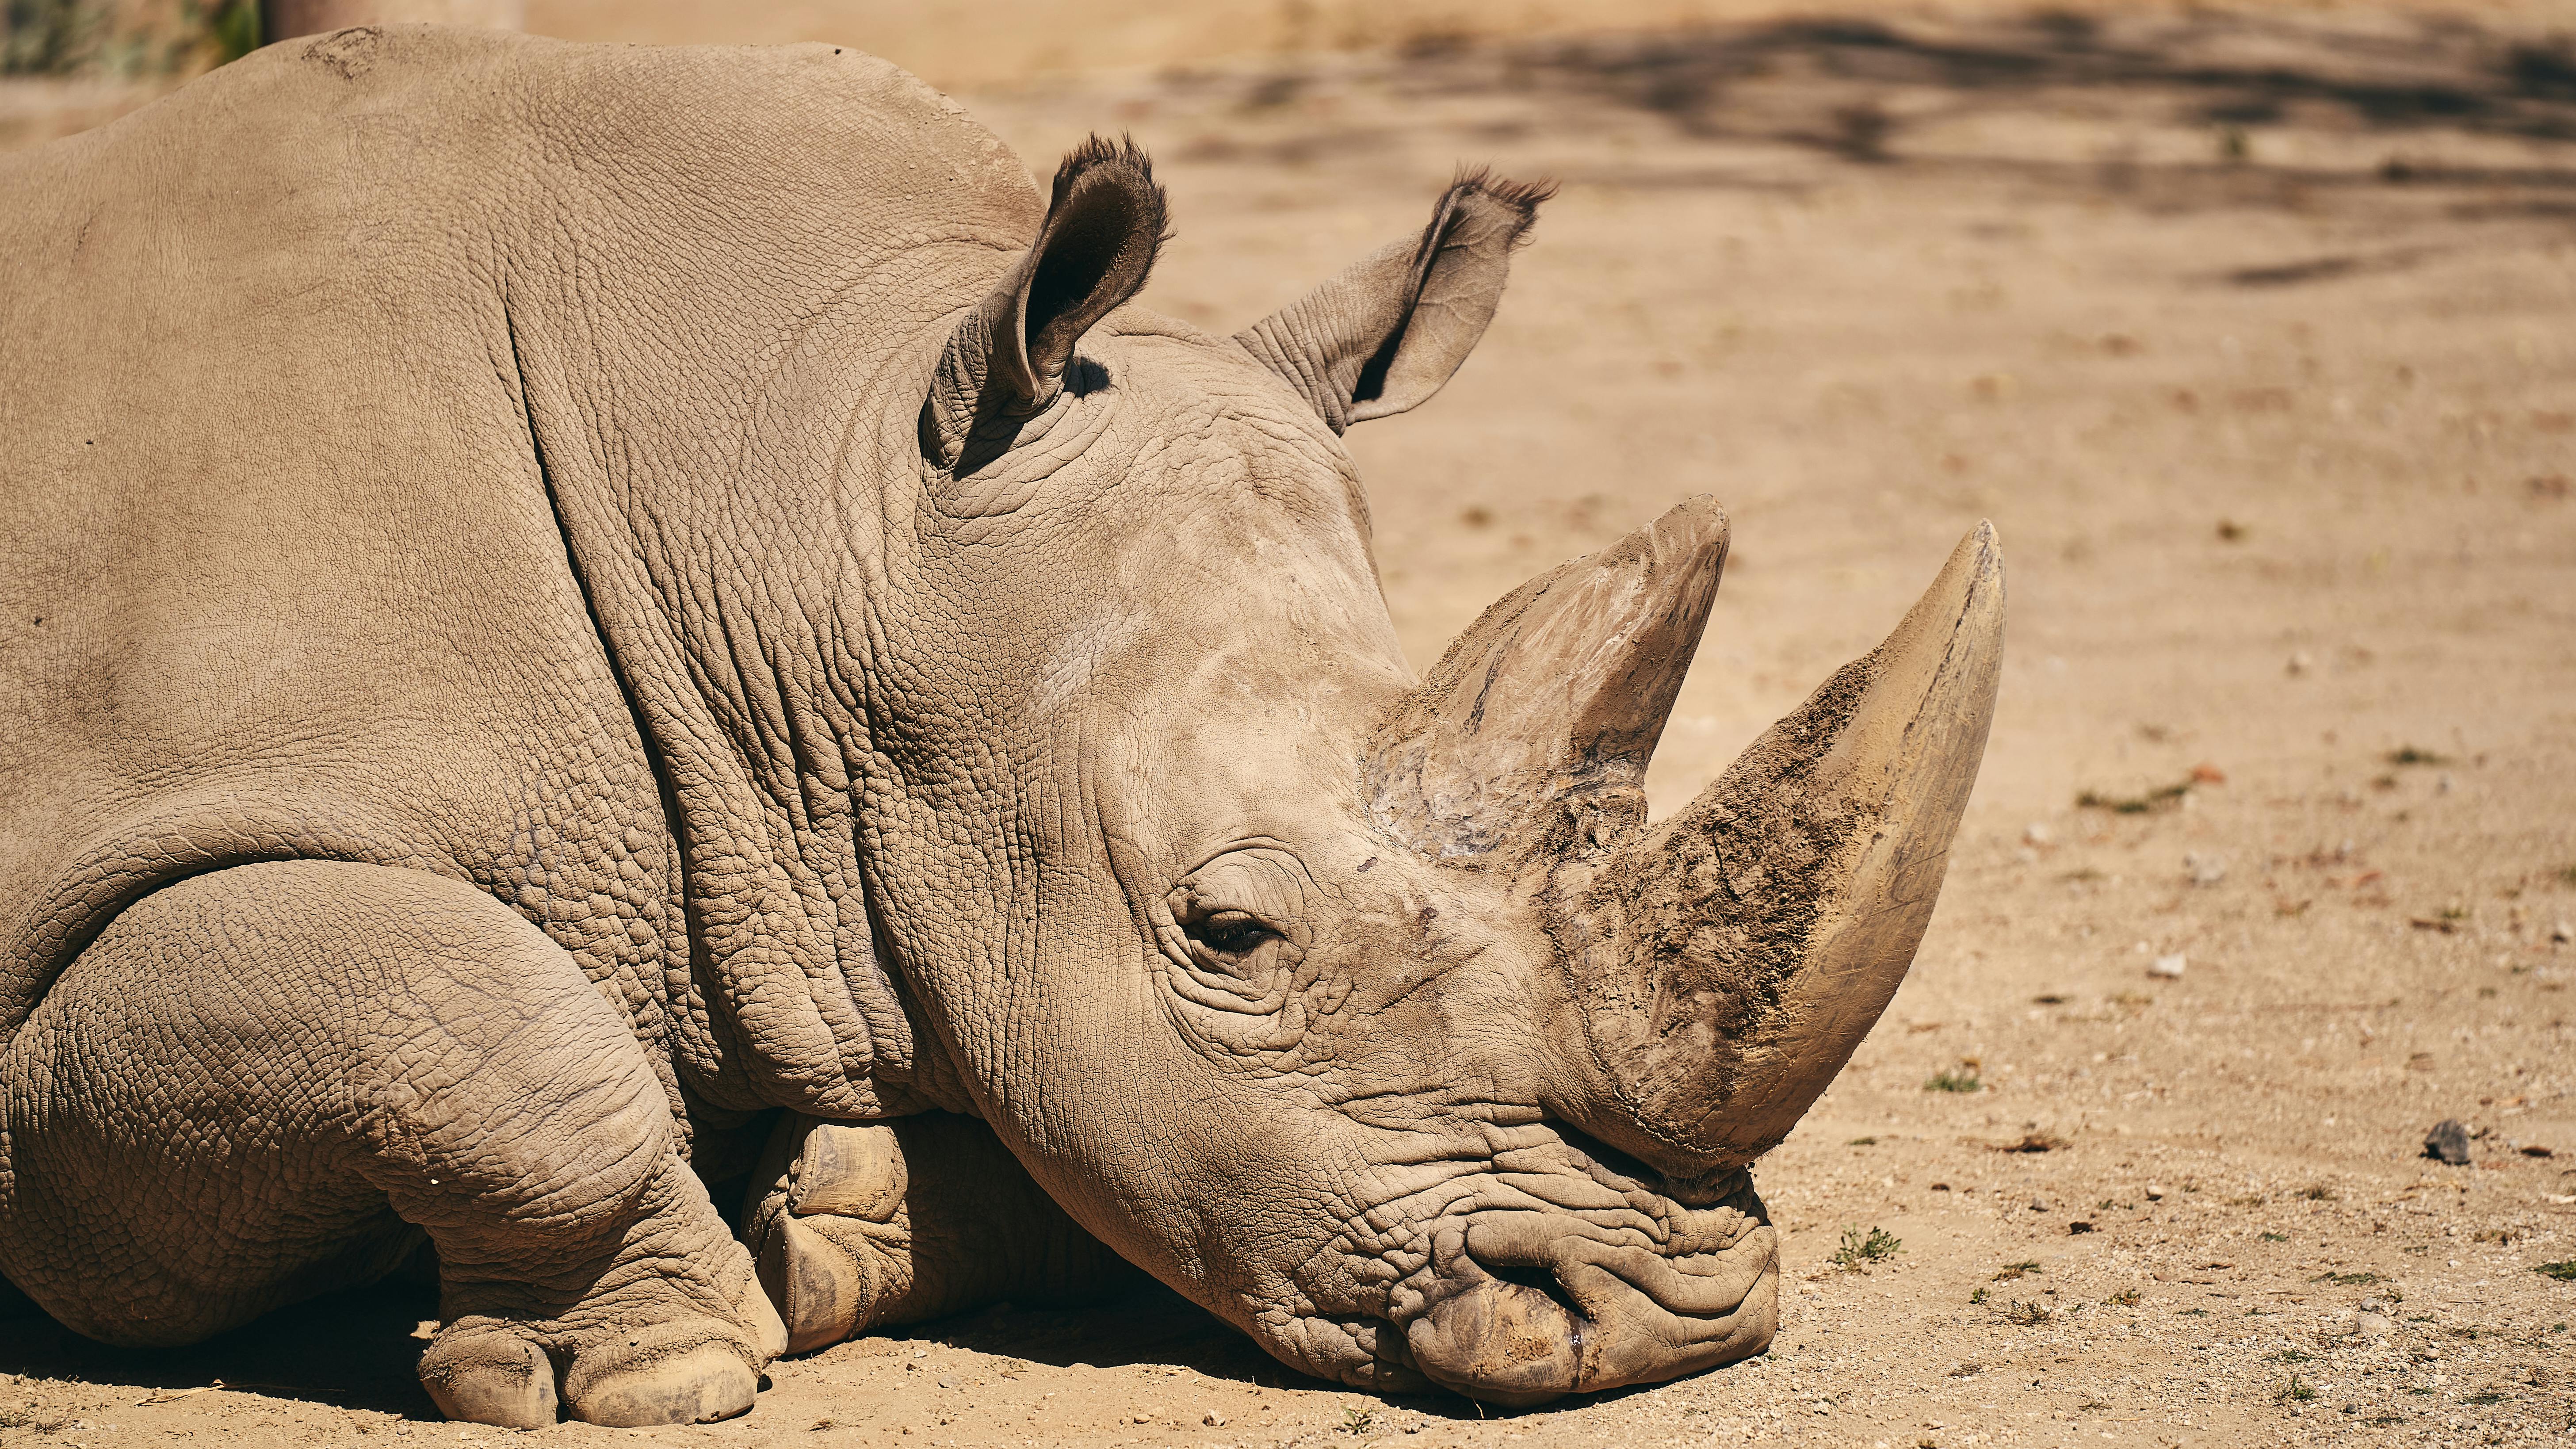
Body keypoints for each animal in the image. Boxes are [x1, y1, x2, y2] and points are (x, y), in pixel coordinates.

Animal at [0, 24, 2001, 1429]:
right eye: (1225, 931)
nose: (1666, 1319)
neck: (803, 497)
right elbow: (480, 1026)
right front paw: (647, 1375)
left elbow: (1054, 1124)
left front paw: (832, 1217)